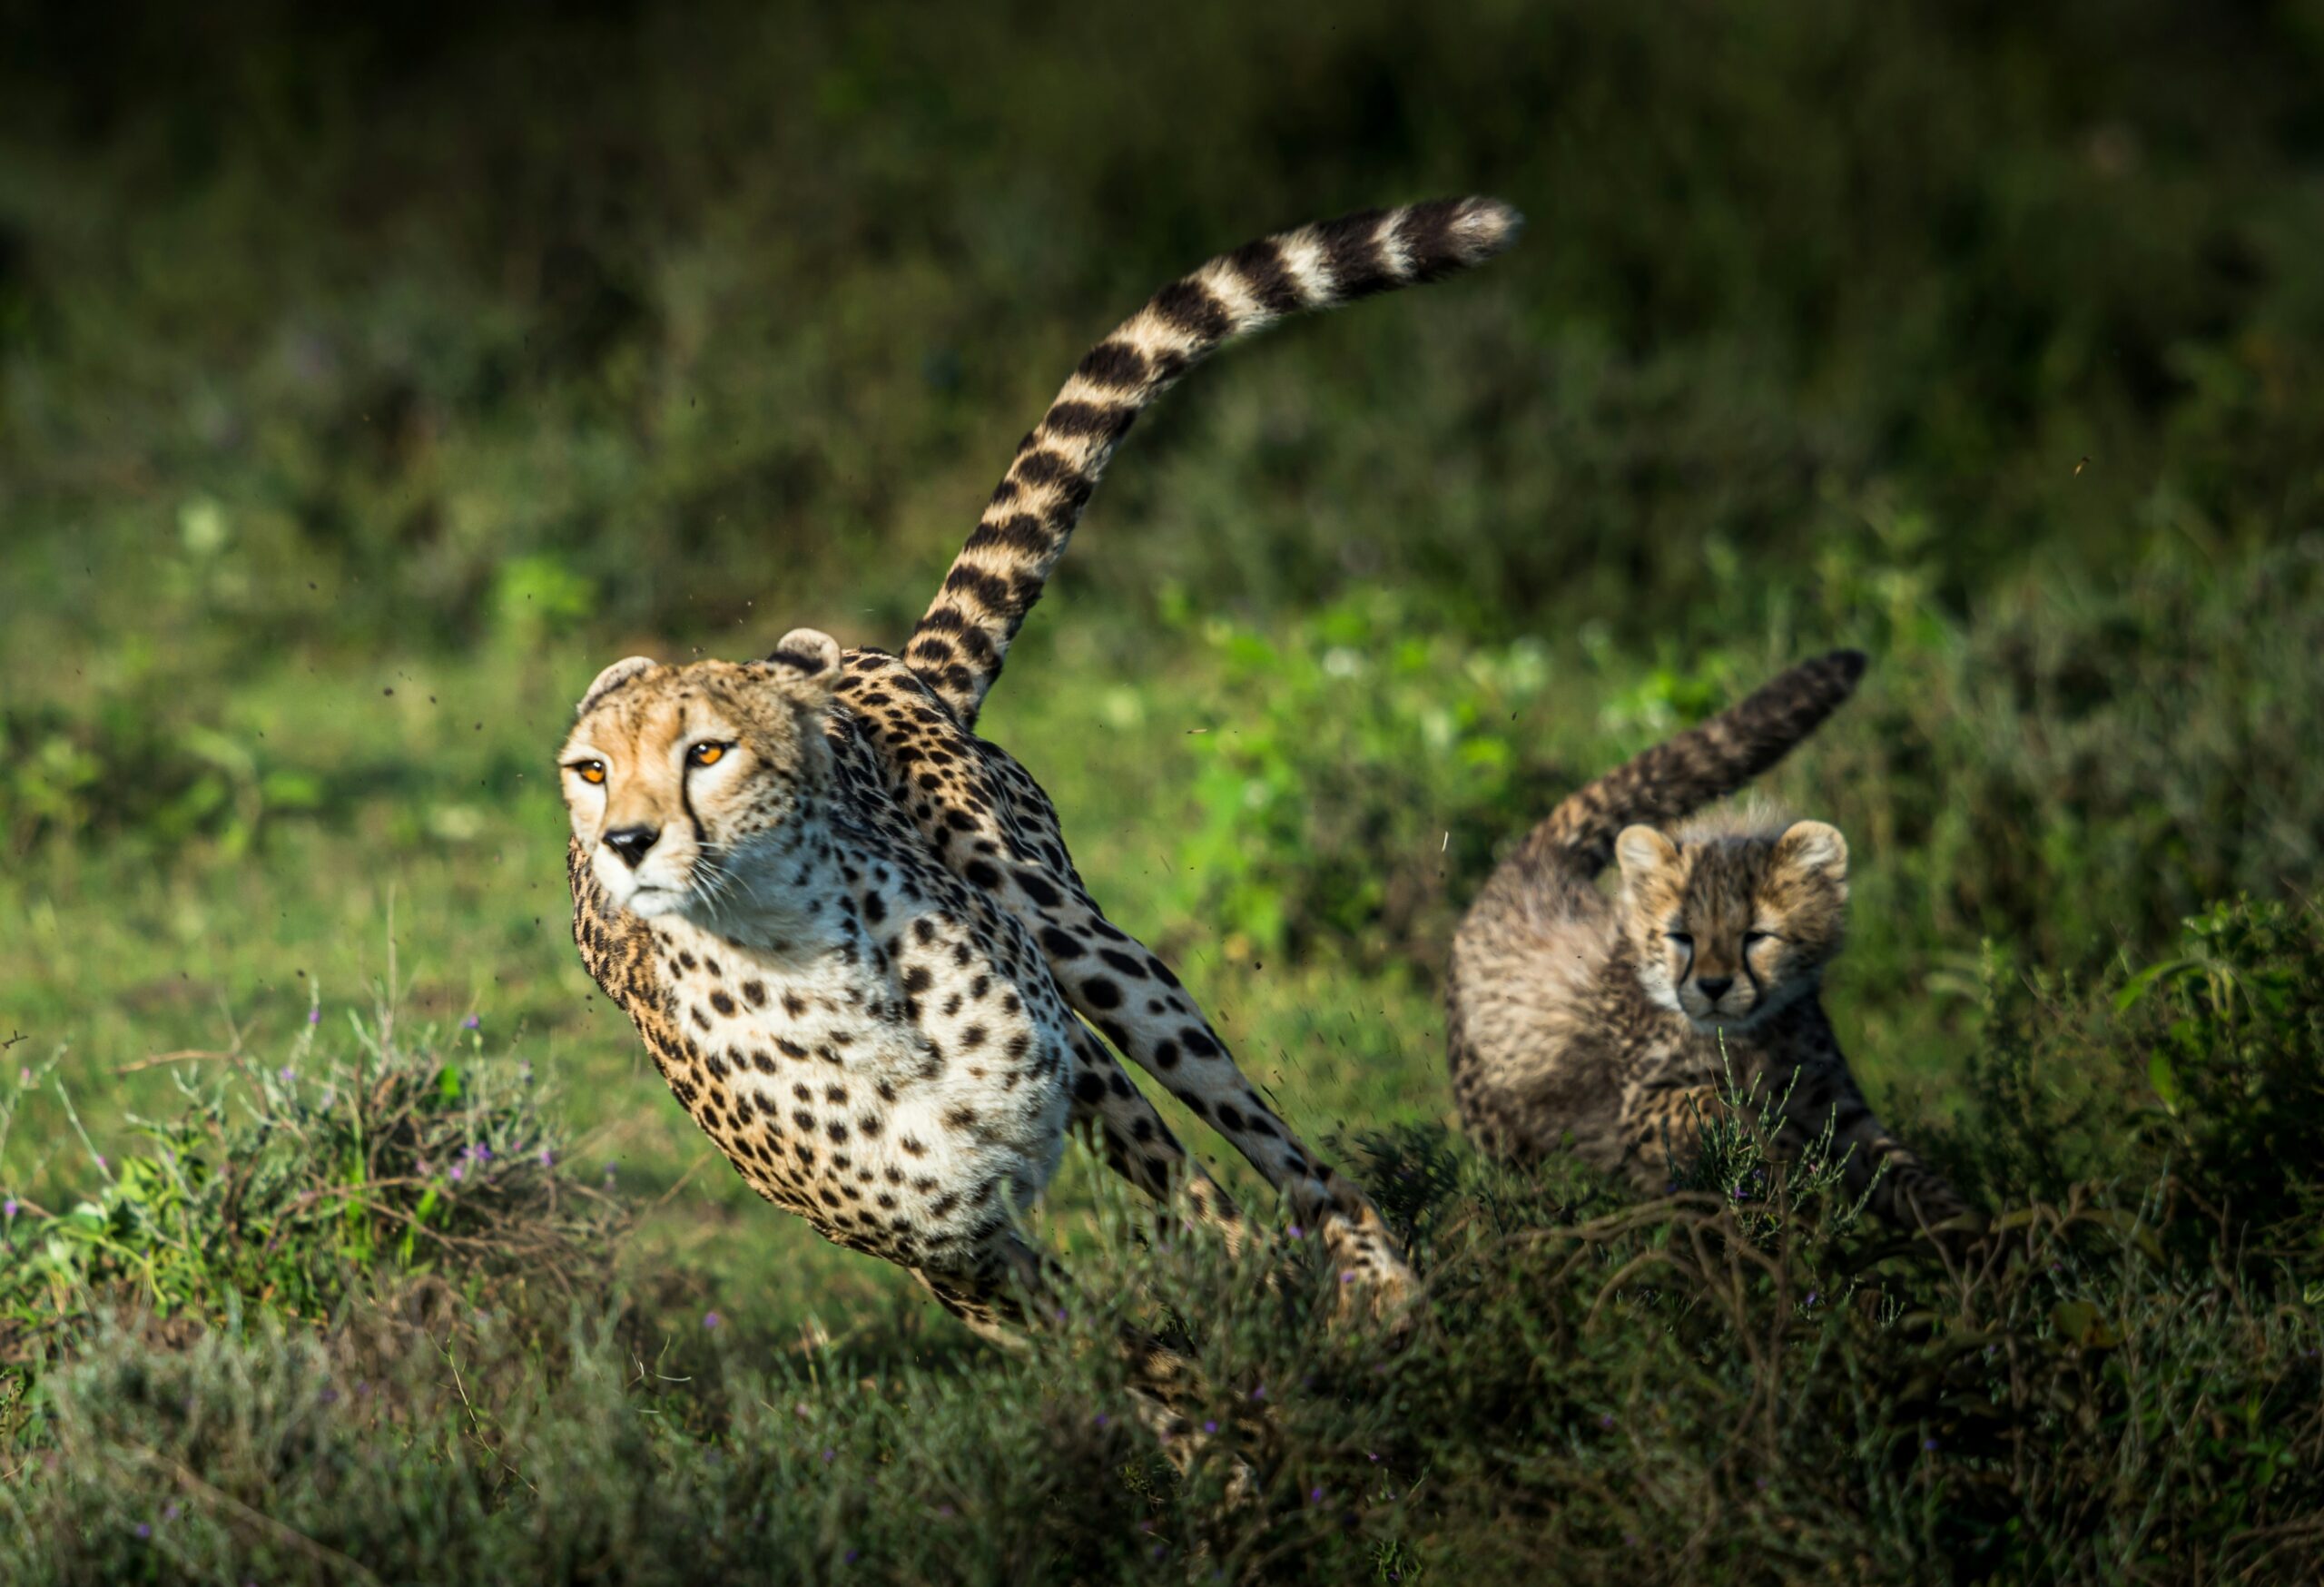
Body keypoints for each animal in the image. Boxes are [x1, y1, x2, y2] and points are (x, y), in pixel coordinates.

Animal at [553, 194, 1515, 1394]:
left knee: (1275, 1145)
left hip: (1086, 947)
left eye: (707, 752)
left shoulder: (1079, 1081)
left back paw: (1378, 1283)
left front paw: (1276, 1352)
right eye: (591, 770)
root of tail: (874, 659)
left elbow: (1211, 1230)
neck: (808, 969)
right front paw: (1217, 1414)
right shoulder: (953, 1255)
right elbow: (1121, 1352)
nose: (627, 841)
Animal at [1450, 650, 1980, 1236]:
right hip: (1499, 1128)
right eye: (1680, 936)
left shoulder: (1833, 1107)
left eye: (1756, 936)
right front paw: (1771, 1149)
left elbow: (1903, 1171)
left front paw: (1977, 1237)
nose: (1713, 987)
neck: (1748, 1038)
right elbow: (1712, 1102)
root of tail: (1534, 867)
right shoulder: (1637, 1107)